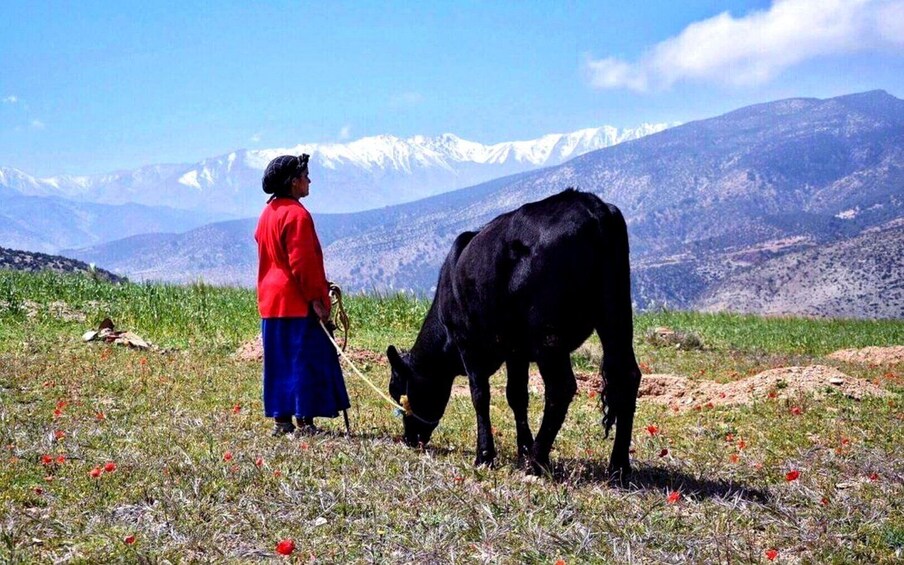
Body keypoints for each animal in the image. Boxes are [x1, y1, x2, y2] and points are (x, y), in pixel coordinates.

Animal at [384, 189, 640, 476]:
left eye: (398, 392)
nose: (409, 438)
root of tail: (592, 205)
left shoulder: (468, 343)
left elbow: (480, 395)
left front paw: (485, 456)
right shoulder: (515, 351)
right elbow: (516, 395)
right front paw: (523, 448)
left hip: (548, 335)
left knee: (561, 387)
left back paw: (537, 462)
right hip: (616, 316)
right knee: (627, 377)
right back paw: (618, 465)